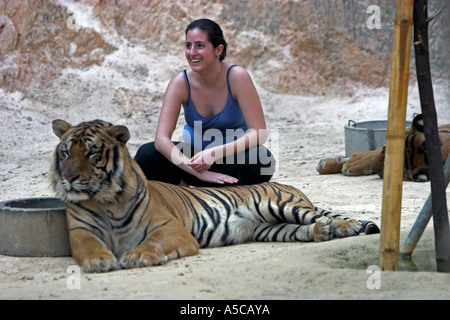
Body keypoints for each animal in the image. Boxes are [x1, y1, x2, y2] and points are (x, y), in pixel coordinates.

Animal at [49, 119, 380, 274]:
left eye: (92, 153)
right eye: (65, 152)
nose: (69, 177)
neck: (107, 200)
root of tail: (293, 187)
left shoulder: (170, 229)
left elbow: (152, 243)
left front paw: (137, 256)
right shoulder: (80, 232)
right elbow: (92, 248)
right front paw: (100, 262)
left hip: (279, 204)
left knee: (323, 217)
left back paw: (346, 227)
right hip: (269, 228)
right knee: (305, 229)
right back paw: (321, 232)